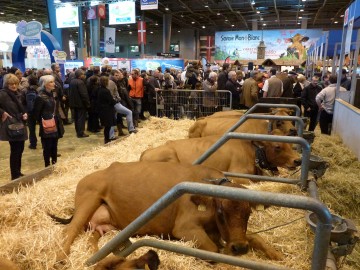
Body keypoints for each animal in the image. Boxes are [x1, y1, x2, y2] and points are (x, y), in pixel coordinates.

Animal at [51, 160, 282, 264]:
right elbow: (213, 251)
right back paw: (61, 258)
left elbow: (254, 237)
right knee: (69, 230)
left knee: (92, 237)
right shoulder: (185, 227)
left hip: (105, 225)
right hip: (88, 200)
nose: (240, 248)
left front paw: (275, 254)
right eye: (221, 211)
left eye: (248, 213)